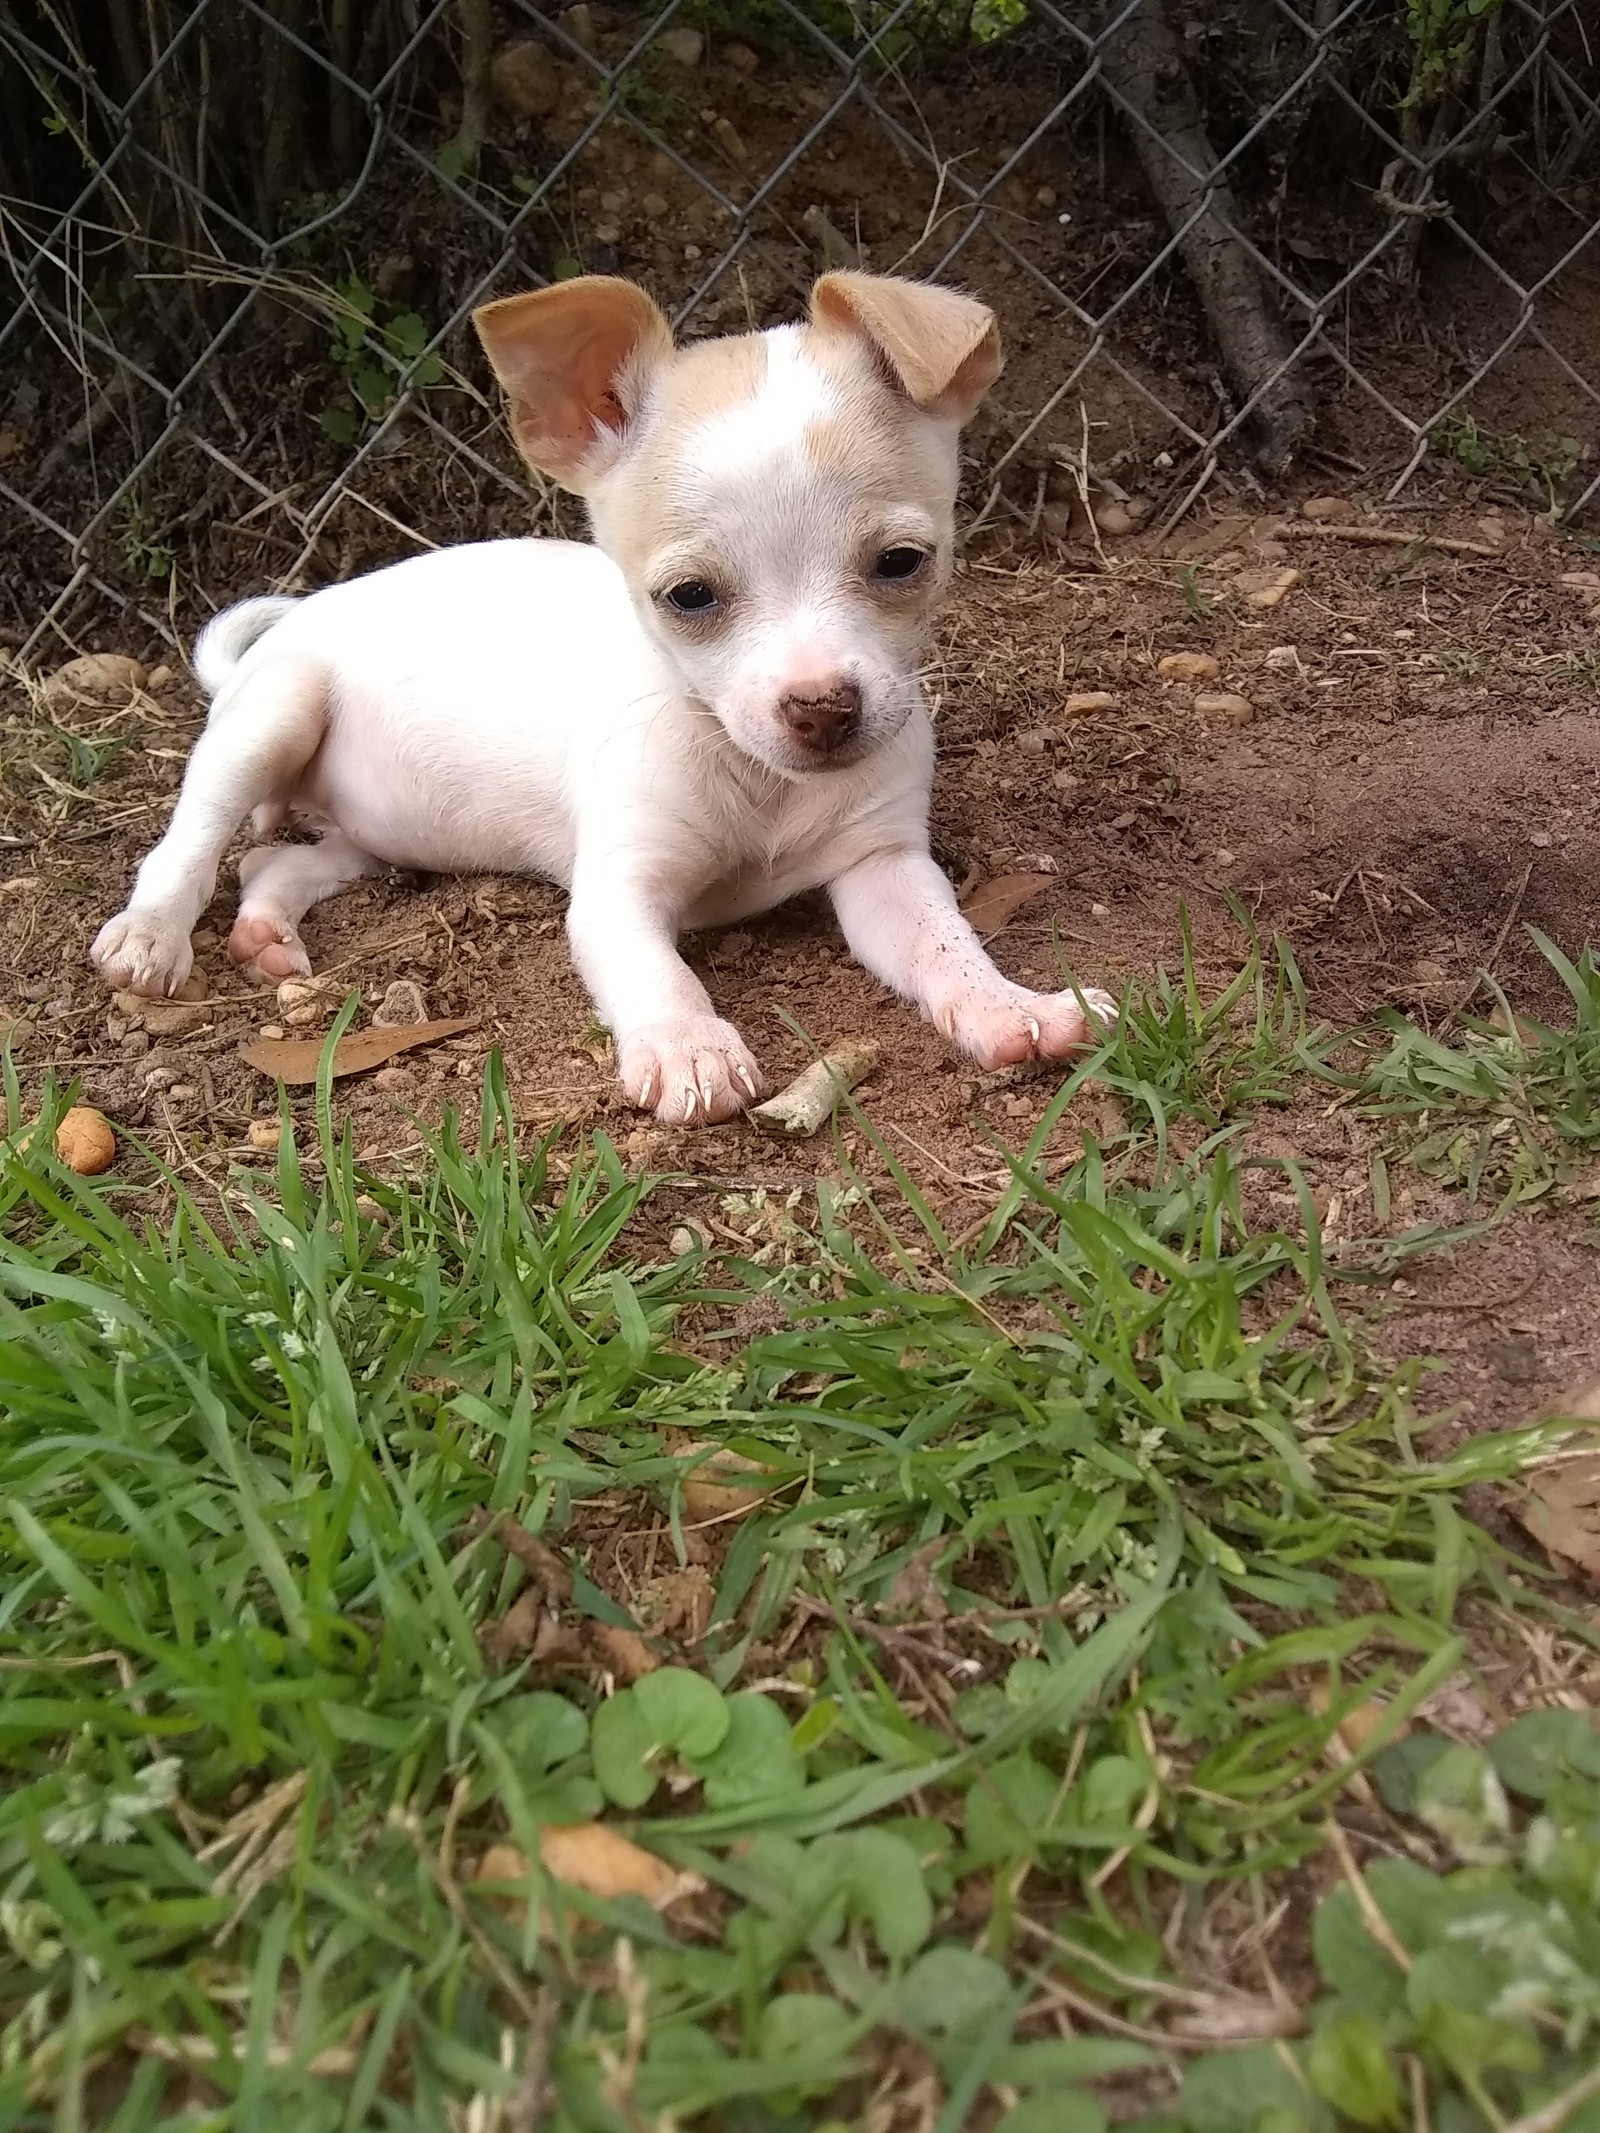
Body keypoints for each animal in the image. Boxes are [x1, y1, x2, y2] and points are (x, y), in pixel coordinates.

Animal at [90, 270, 1117, 1117]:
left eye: (903, 563)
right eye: (688, 597)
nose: (822, 707)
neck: (757, 781)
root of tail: (296, 621)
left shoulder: (883, 870)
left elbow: (947, 942)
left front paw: (1010, 1006)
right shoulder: (619, 892)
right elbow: (658, 972)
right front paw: (689, 1047)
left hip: (376, 838)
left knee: (281, 860)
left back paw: (267, 931)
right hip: (272, 717)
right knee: (192, 841)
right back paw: (150, 935)